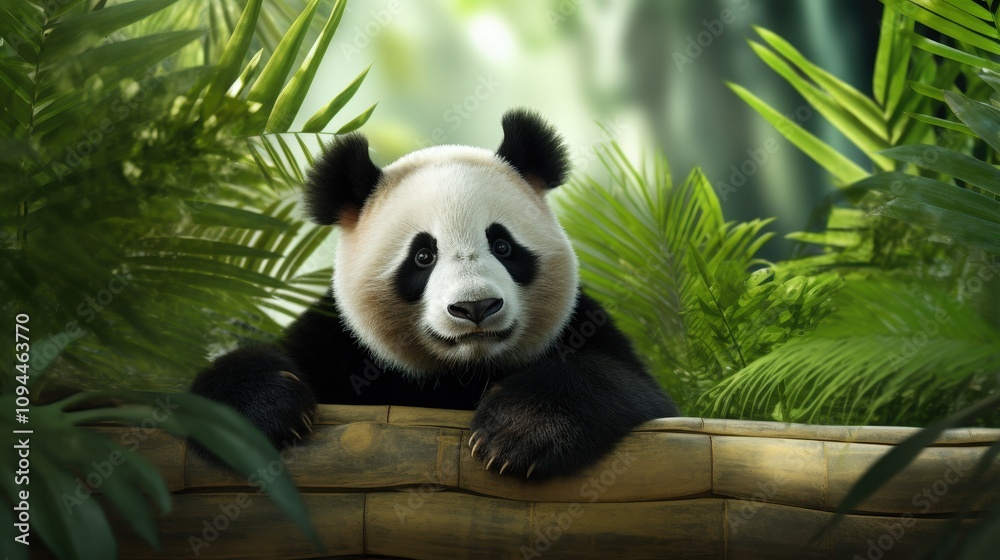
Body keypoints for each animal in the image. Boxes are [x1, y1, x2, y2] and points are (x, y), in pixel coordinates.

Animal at [191, 109, 678, 479]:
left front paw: (519, 432)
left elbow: (631, 386)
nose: (475, 307)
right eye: (423, 256)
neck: (461, 373)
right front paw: (265, 415)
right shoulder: (339, 343)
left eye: (503, 245)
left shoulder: (581, 324)